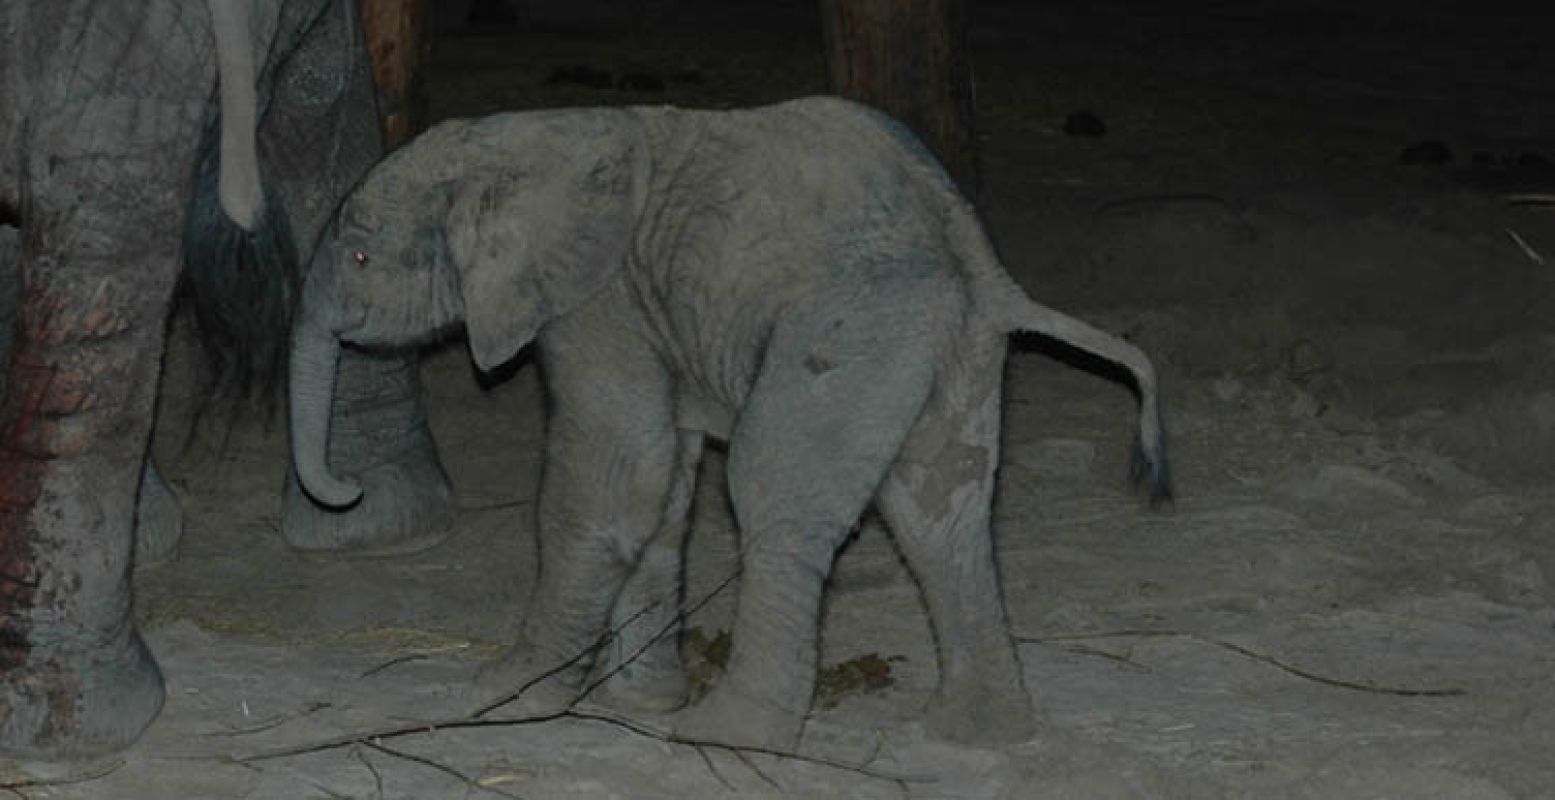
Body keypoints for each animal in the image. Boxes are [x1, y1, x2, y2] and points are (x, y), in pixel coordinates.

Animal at [292, 93, 1169, 747]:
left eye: (361, 257)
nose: (345, 489)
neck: (515, 138)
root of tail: (985, 271)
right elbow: (662, 489)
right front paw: (639, 706)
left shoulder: (595, 298)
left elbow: (614, 473)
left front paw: (502, 695)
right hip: (946, 346)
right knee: (940, 515)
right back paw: (976, 734)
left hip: (849, 326)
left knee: (771, 489)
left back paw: (732, 735)